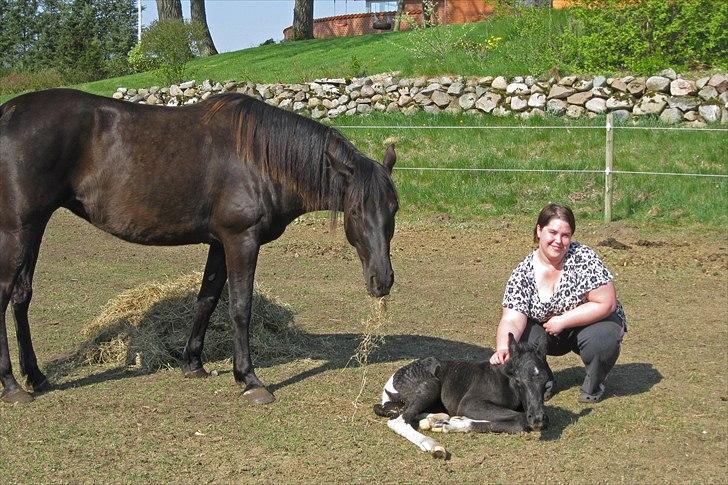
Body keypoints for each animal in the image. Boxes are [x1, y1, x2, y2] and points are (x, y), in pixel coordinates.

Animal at [0, 88, 398, 404]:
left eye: (393, 208)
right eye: (356, 210)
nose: (382, 281)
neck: (259, 157)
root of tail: (8, 113)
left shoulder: (220, 243)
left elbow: (207, 299)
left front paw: (193, 364)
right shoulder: (241, 240)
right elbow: (239, 307)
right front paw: (249, 379)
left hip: (34, 227)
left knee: (21, 296)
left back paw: (35, 377)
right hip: (18, 230)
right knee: (5, 295)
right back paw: (12, 386)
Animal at [376, 332, 544, 458]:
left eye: (546, 382)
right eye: (519, 380)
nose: (537, 419)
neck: (504, 380)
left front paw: (453, 422)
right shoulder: (469, 403)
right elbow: (520, 420)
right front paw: (454, 425)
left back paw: (435, 420)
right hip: (430, 386)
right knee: (398, 419)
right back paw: (434, 445)